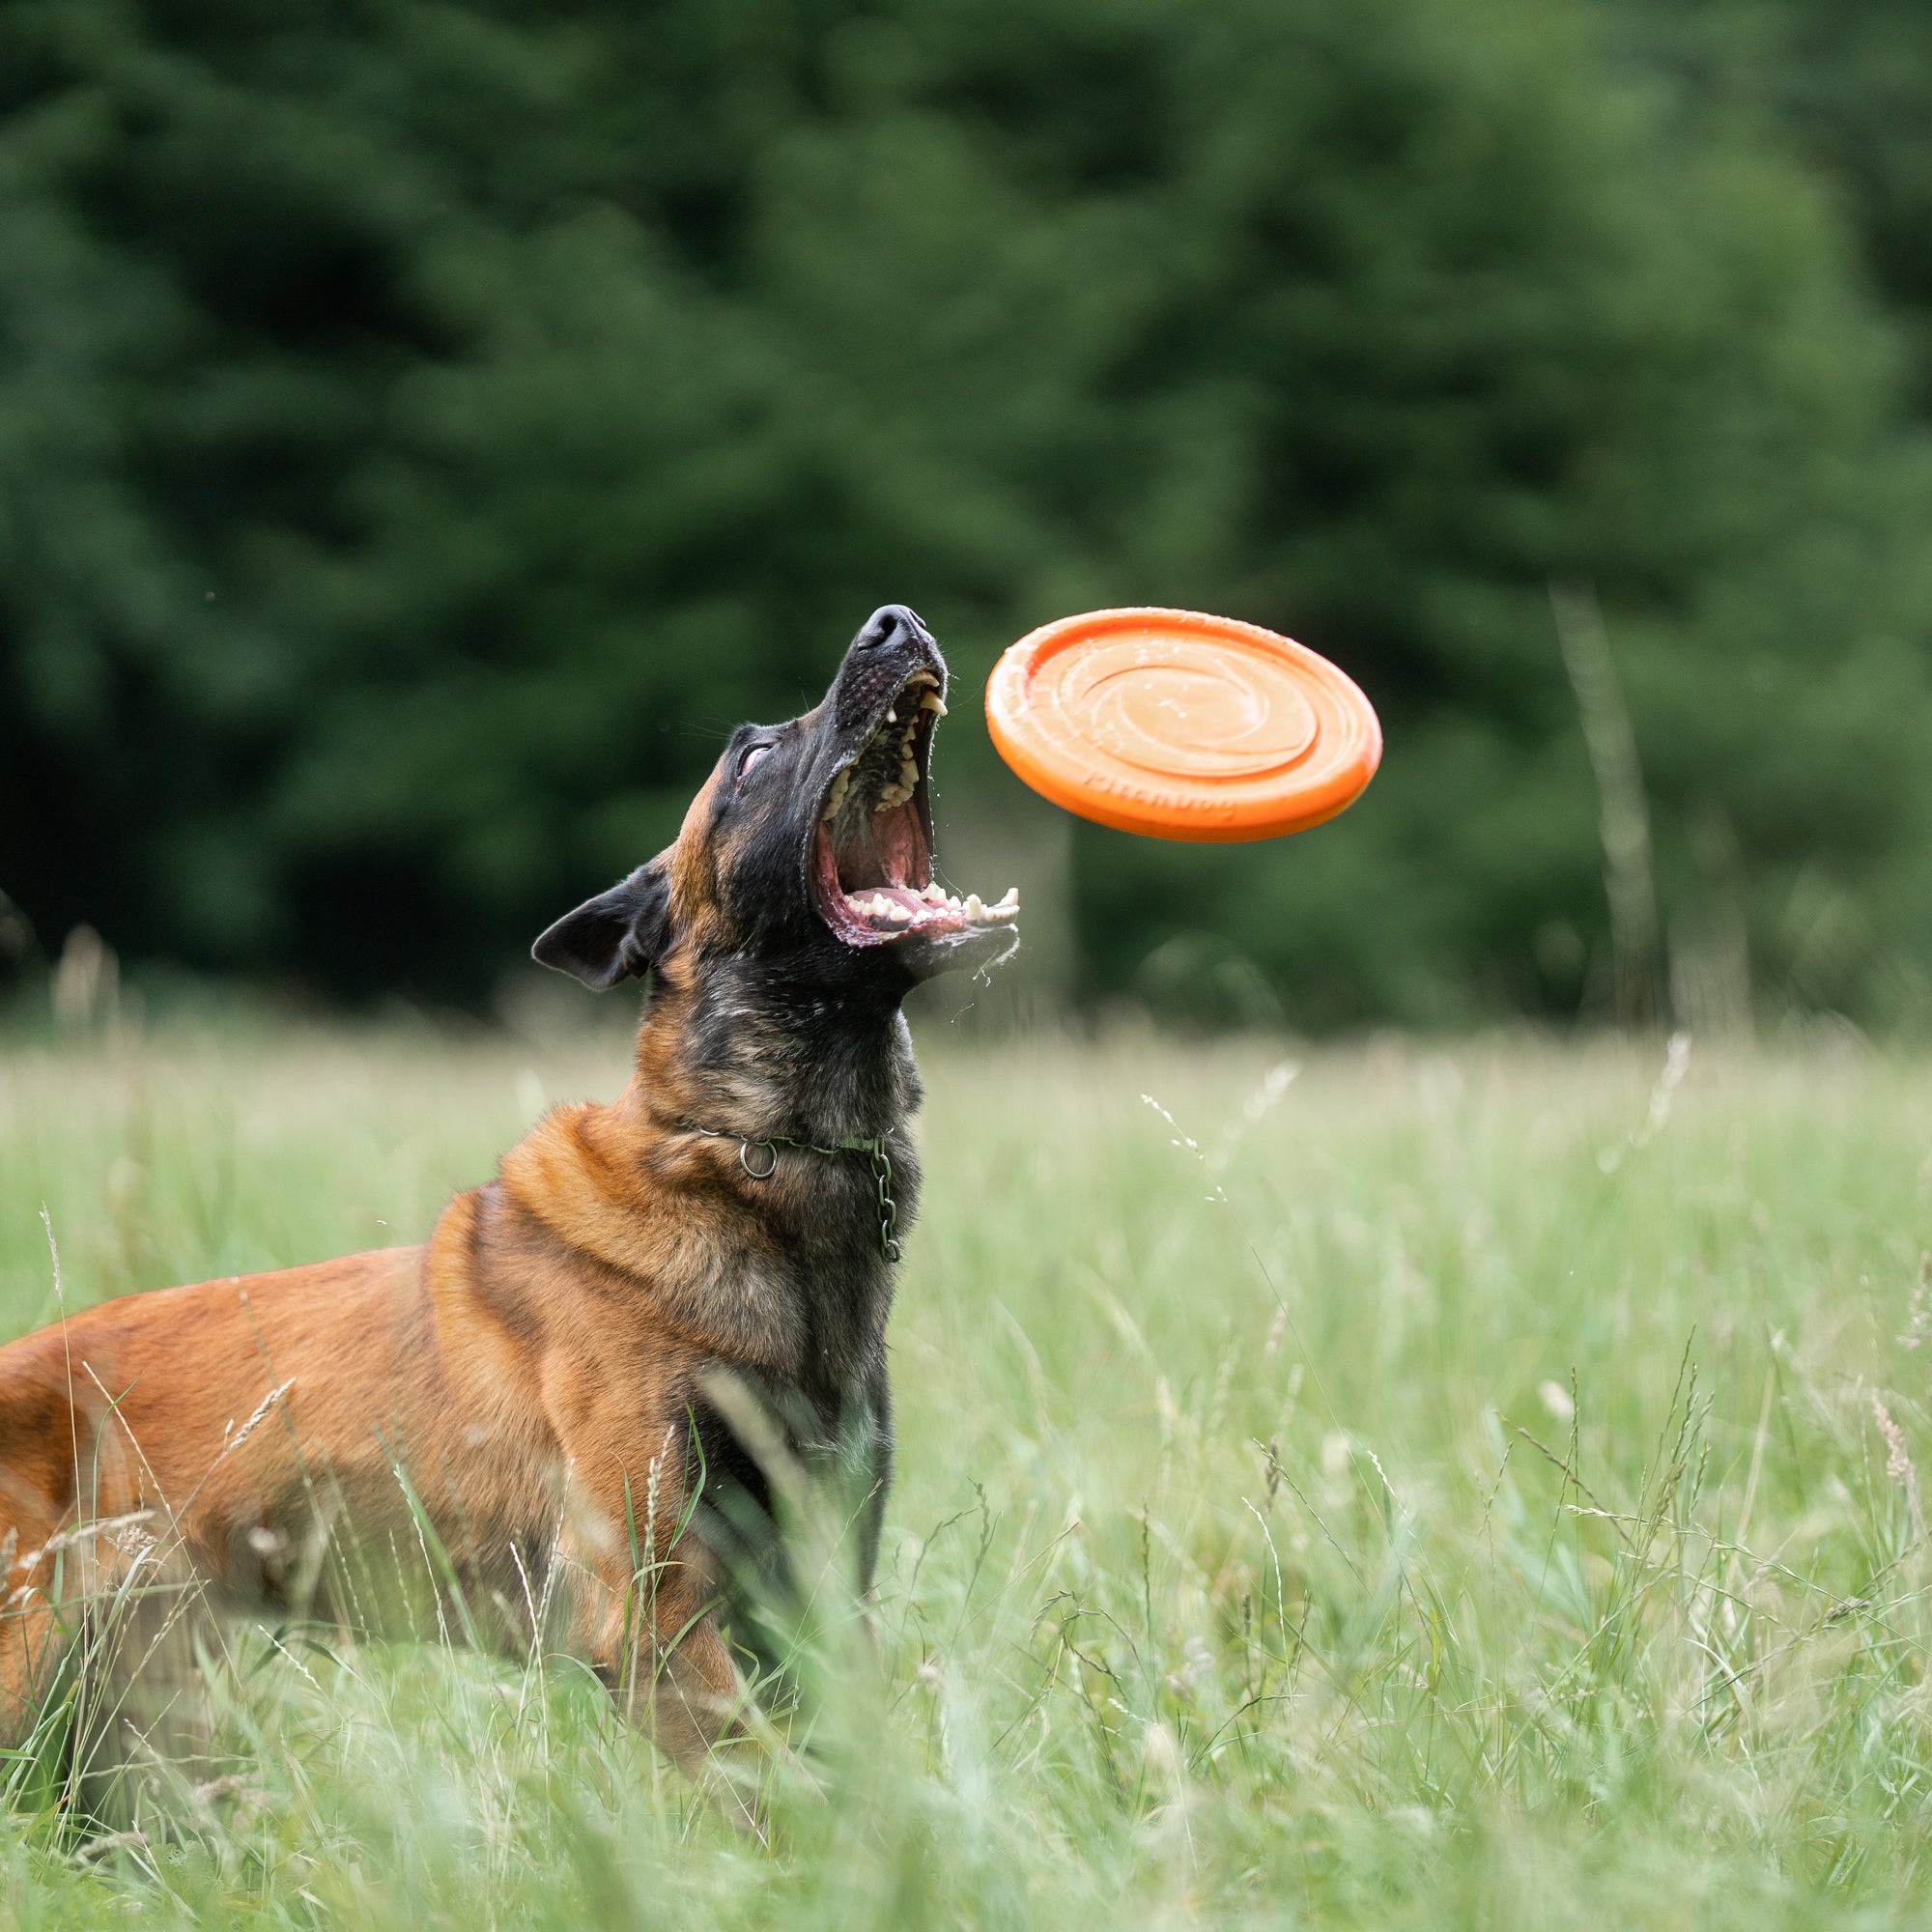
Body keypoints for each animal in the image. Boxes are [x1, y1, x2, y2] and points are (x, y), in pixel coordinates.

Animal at [0, 603, 1020, 1777]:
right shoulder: (655, 1609)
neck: (747, 1152)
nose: (894, 623)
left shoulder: (816, 1594)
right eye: (754, 756)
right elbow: (760, 1784)